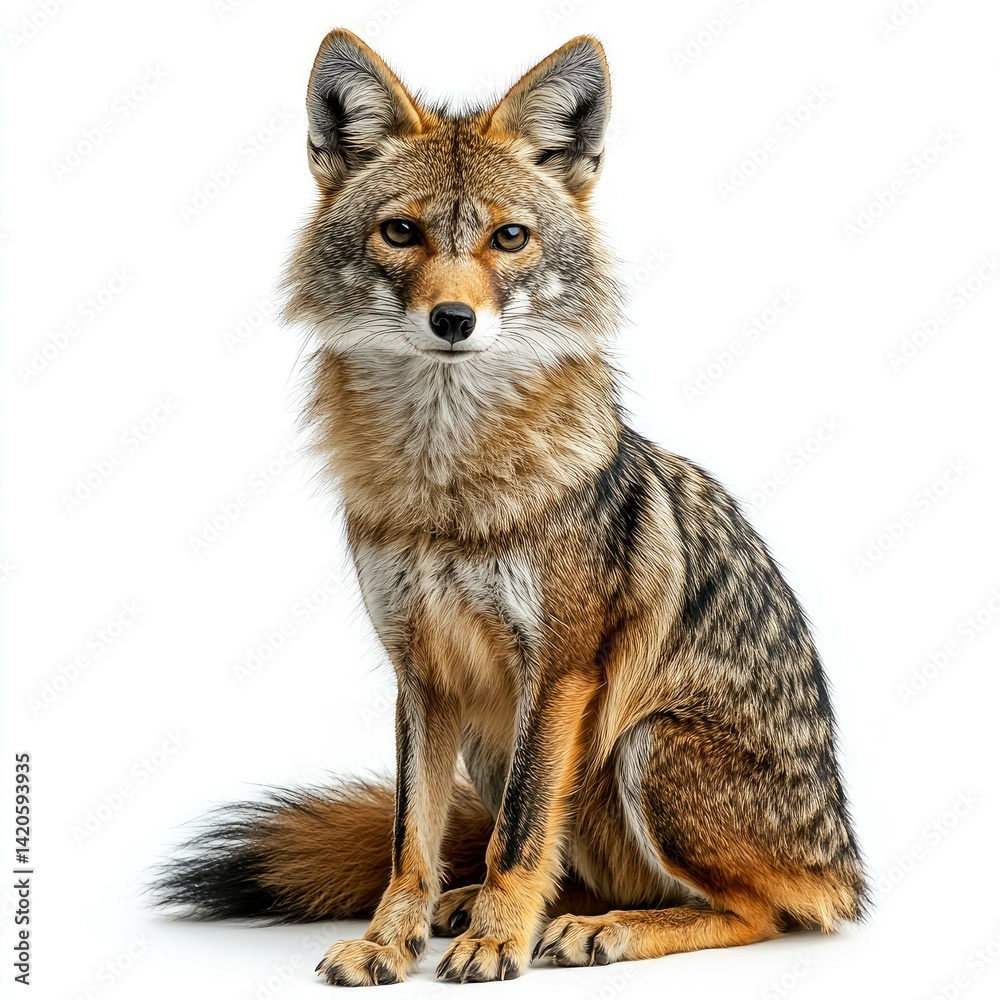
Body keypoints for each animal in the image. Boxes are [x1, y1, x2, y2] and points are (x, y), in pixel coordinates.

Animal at [153, 30, 868, 985]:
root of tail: (848, 865)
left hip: (644, 745)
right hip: (493, 743)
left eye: (510, 237)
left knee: (759, 912)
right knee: (571, 868)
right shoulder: (419, 670)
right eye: (402, 231)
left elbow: (522, 833)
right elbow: (412, 840)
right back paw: (507, 911)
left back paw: (603, 930)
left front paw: (497, 940)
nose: (453, 320)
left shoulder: (558, 669)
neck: (445, 493)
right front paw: (393, 940)